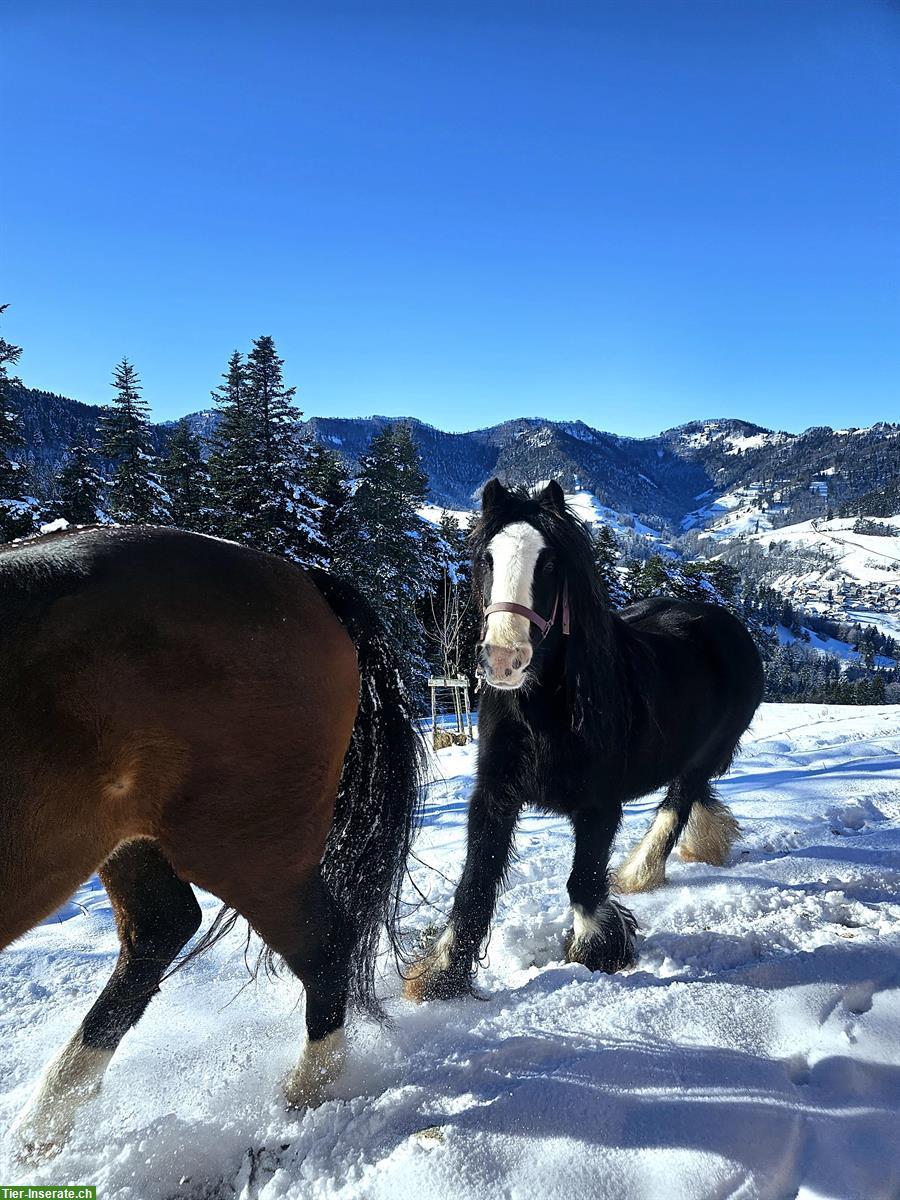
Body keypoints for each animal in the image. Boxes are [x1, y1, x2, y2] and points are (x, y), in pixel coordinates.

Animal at [0, 524, 422, 1156]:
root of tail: (301, 577)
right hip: (136, 842)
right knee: (161, 927)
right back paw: (44, 1124)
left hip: (248, 849)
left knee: (323, 943)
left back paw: (304, 1093)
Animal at [405, 478, 764, 1002]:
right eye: (487, 559)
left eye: (550, 562)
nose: (502, 660)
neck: (540, 711)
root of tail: (727, 624)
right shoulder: (493, 797)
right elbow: (475, 885)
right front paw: (440, 975)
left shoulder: (599, 806)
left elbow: (584, 883)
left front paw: (597, 951)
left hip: (706, 753)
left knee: (678, 803)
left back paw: (640, 872)